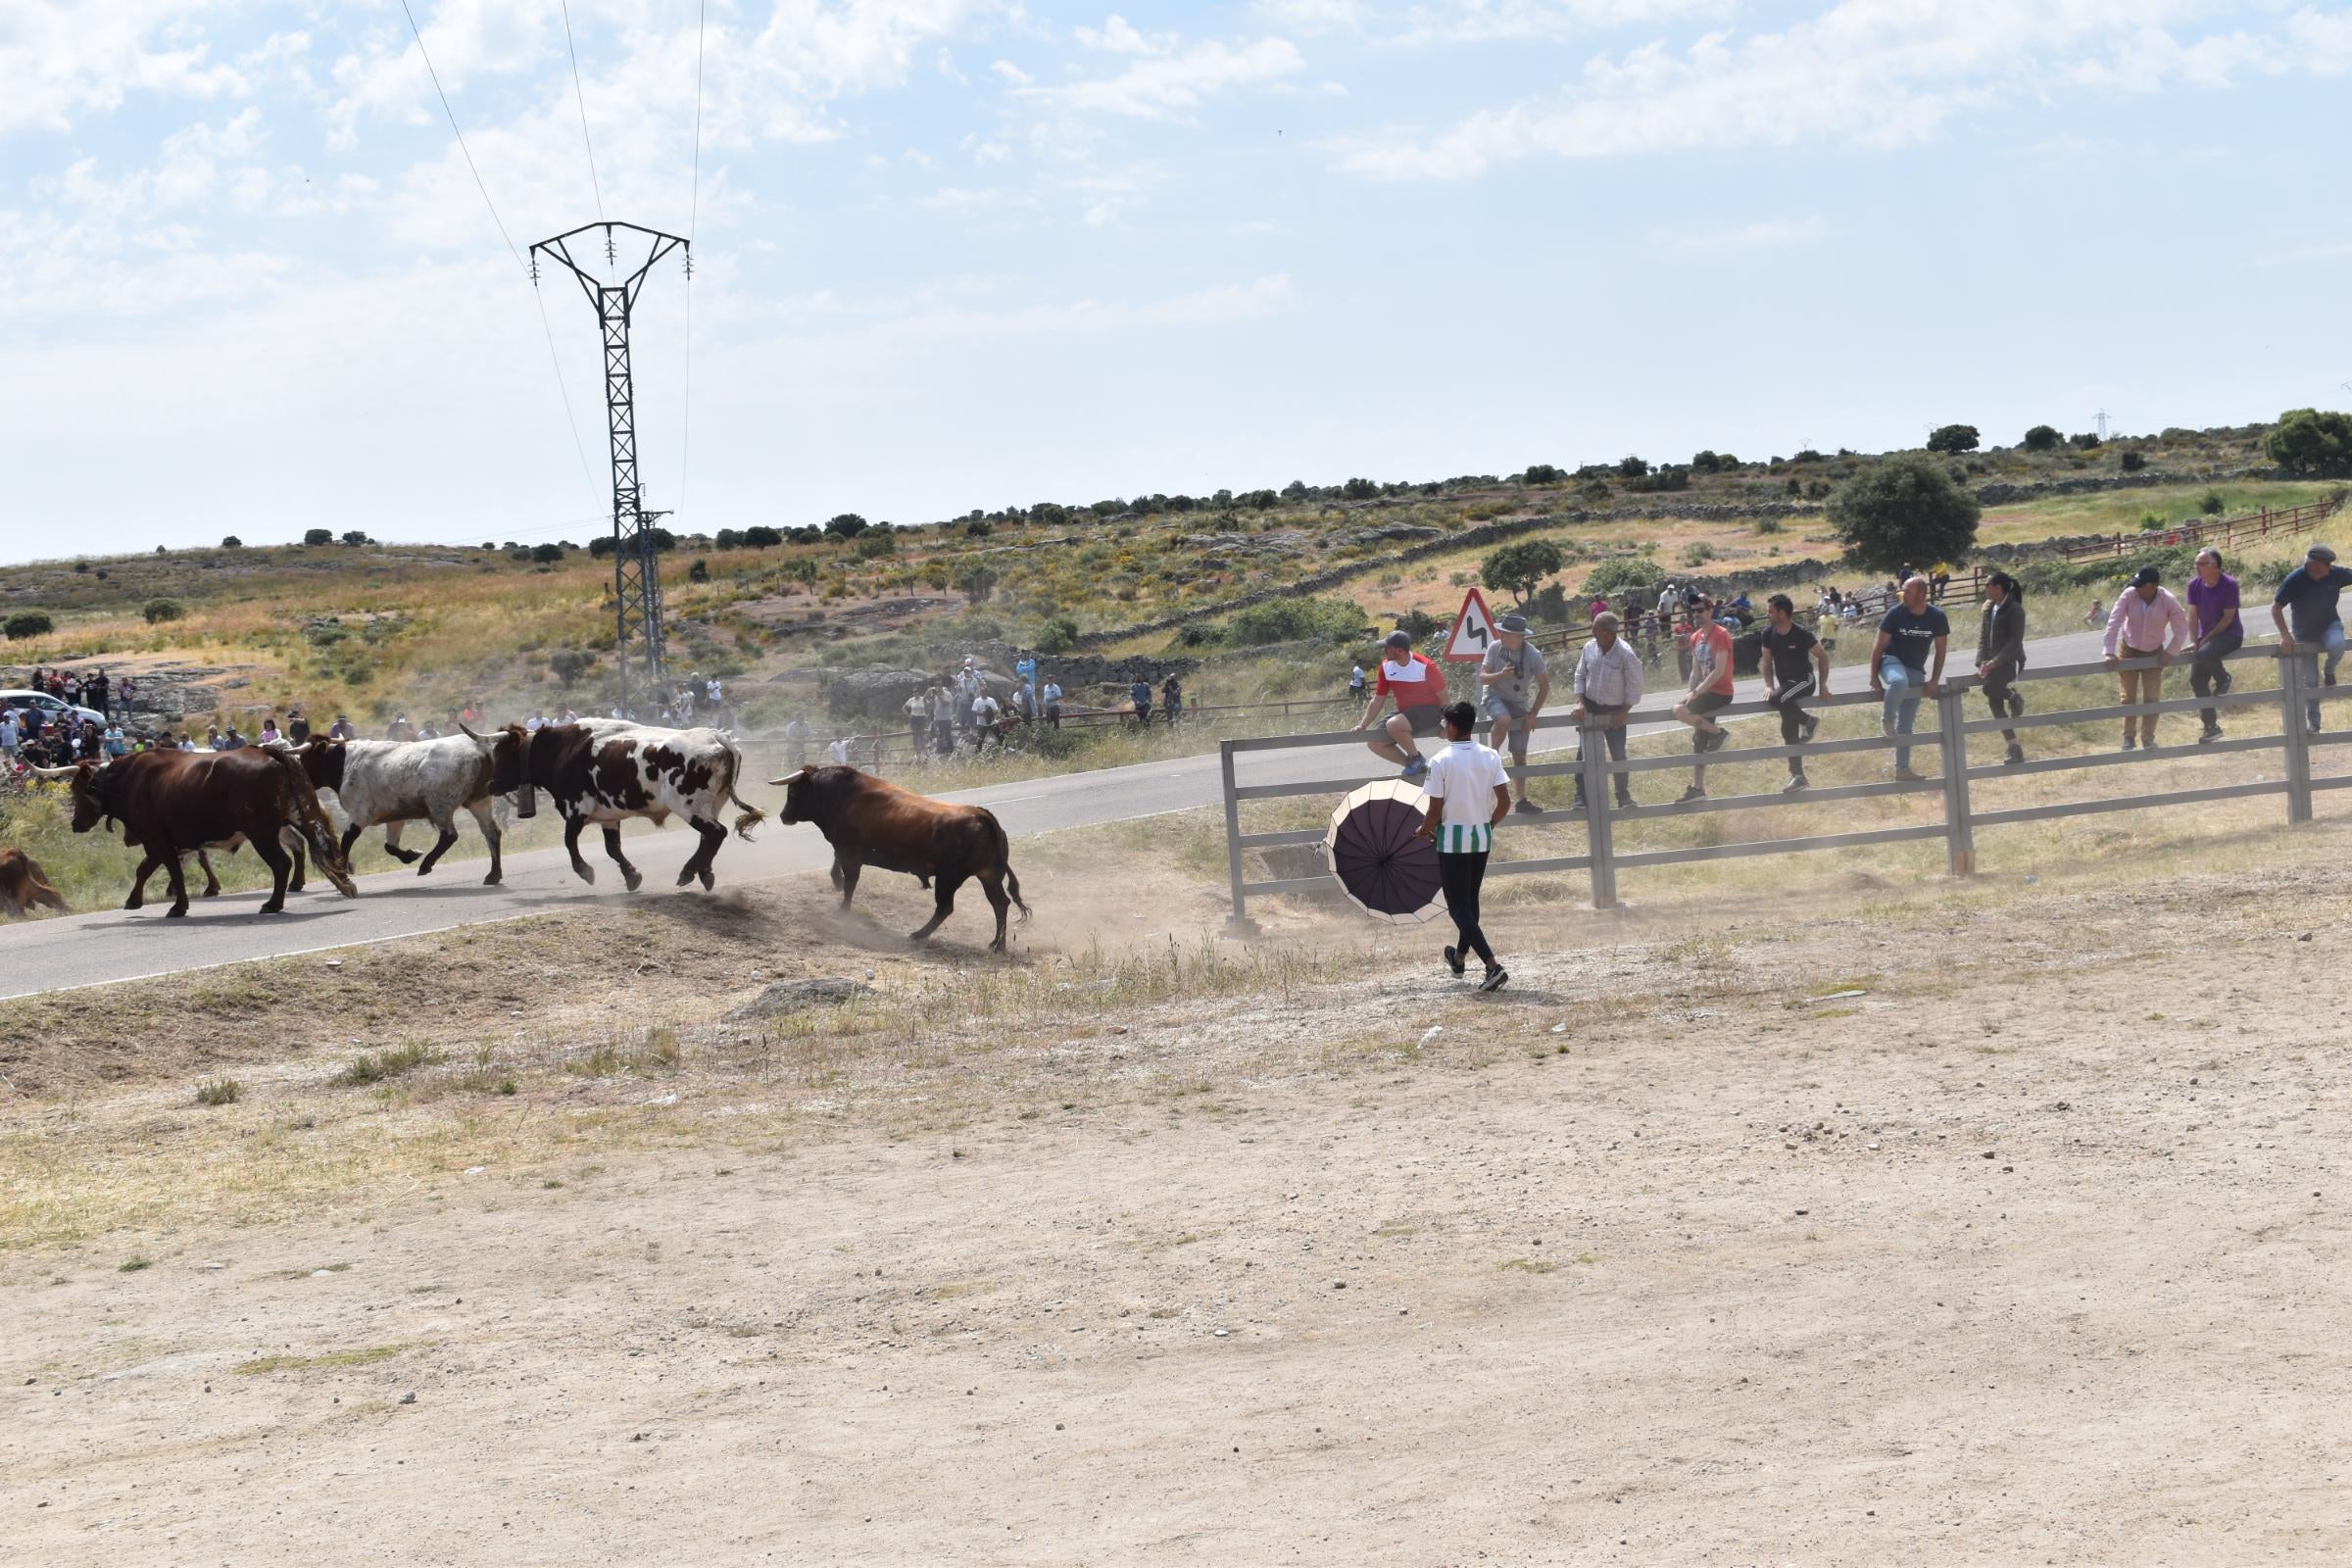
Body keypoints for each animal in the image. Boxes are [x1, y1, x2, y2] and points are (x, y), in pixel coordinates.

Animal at [38, 752, 355, 921]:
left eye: (77, 790)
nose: (75, 824)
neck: (129, 780)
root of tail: (266, 751)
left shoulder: (158, 839)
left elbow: (169, 872)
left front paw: (178, 906)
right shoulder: (160, 843)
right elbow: (146, 869)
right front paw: (134, 900)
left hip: (262, 833)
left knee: (282, 863)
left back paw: (273, 904)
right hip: (300, 817)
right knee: (319, 849)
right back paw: (343, 884)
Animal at [771, 766, 1030, 950]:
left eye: (793, 791)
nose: (783, 816)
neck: (841, 796)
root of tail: (981, 815)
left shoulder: (850, 854)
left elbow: (850, 884)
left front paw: (842, 911)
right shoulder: (844, 850)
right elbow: (839, 869)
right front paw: (836, 882)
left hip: (949, 878)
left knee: (945, 907)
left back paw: (919, 934)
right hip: (988, 876)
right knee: (1000, 903)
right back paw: (997, 944)